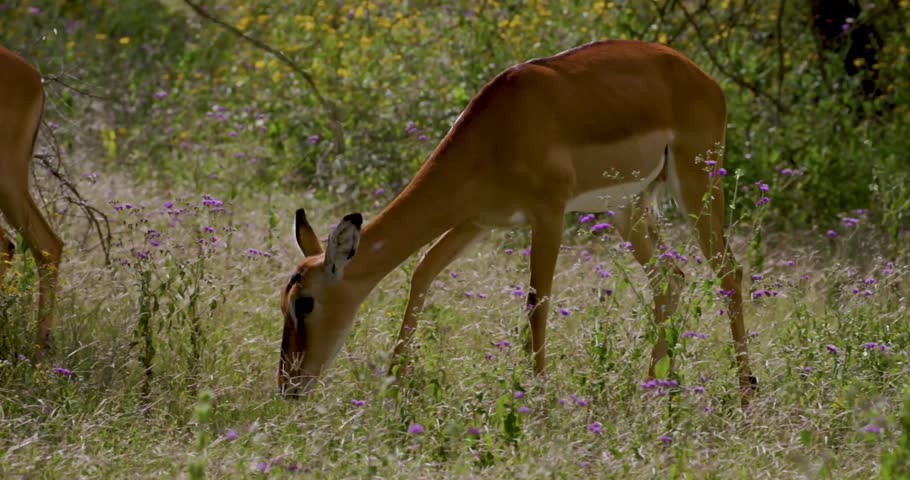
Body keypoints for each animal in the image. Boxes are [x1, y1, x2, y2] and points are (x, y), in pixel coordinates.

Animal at [280, 40, 756, 404]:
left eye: (305, 303)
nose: (288, 386)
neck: (499, 129)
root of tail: (705, 79)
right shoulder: (474, 221)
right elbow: (421, 274)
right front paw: (394, 384)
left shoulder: (548, 214)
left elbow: (536, 303)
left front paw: (538, 403)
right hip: (628, 206)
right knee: (670, 277)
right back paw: (652, 388)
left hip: (696, 186)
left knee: (730, 272)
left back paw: (744, 394)